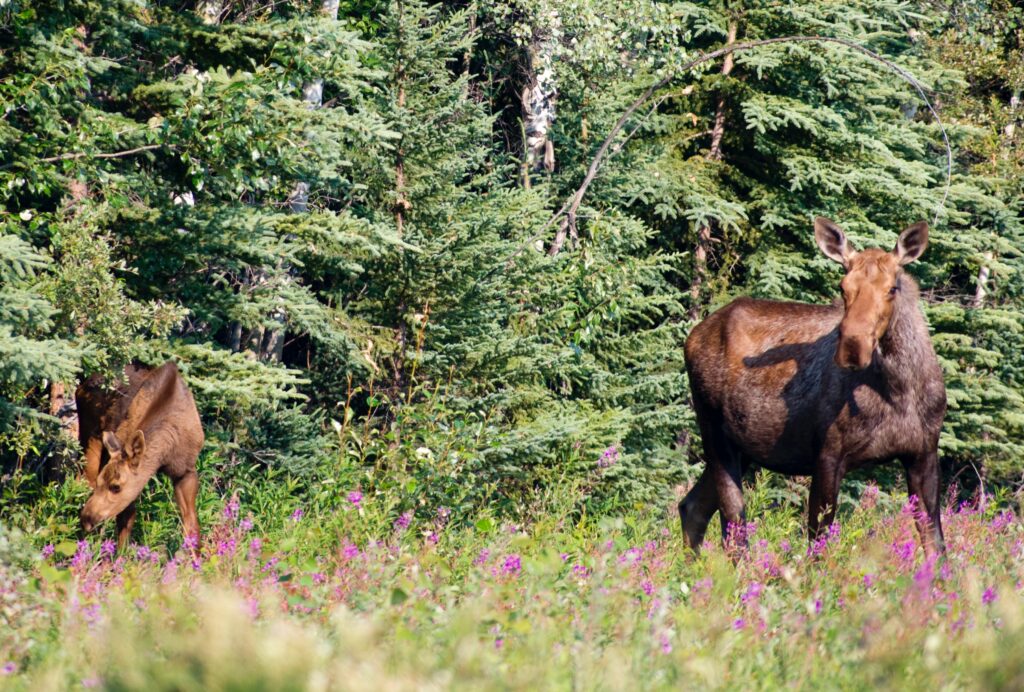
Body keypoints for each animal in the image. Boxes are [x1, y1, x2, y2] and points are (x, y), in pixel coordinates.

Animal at [77, 360, 203, 548]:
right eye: (102, 482)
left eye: (115, 486)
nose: (86, 519)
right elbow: (125, 526)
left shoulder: (186, 471)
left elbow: (192, 526)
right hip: (89, 436)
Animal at [684, 219, 946, 560]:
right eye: (842, 287)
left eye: (892, 288)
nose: (852, 346)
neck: (898, 391)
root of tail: (691, 337)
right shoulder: (827, 454)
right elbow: (819, 546)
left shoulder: (923, 453)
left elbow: (936, 547)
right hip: (714, 431)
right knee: (734, 528)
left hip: (742, 449)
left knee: (693, 507)